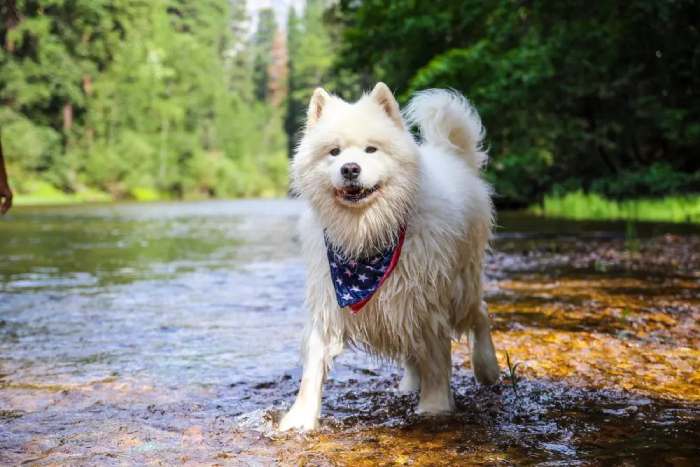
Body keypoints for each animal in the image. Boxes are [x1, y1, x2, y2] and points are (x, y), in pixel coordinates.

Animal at [282, 83, 500, 432]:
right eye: (334, 152)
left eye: (371, 150)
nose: (350, 169)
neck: (367, 233)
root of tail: (452, 155)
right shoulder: (330, 299)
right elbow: (313, 367)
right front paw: (299, 418)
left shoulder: (427, 303)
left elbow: (436, 361)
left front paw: (434, 408)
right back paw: (410, 385)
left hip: (459, 287)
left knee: (479, 312)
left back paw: (487, 368)